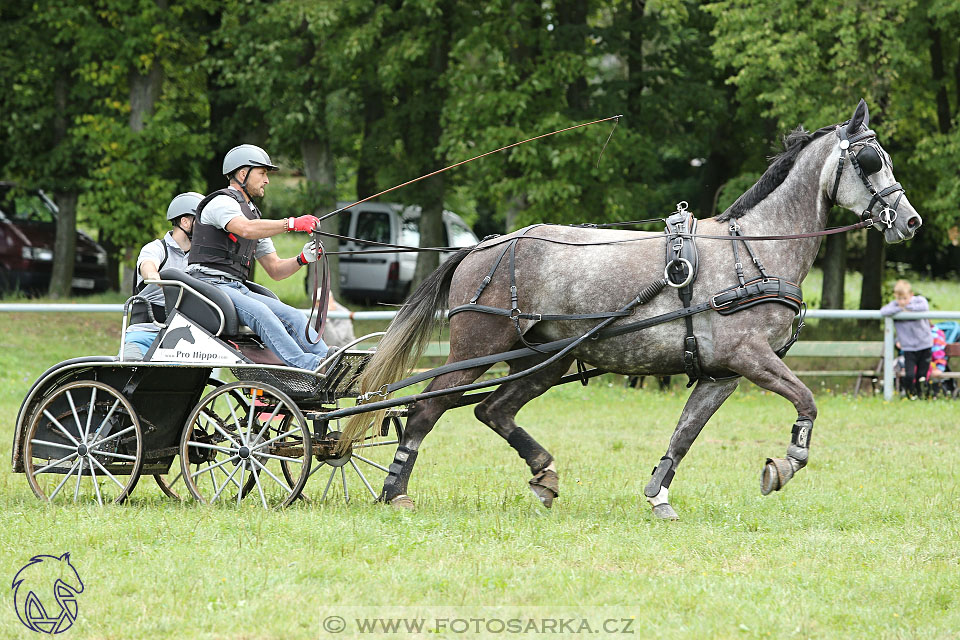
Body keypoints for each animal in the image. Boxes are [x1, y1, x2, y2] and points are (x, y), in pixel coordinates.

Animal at [344, 101, 924, 520]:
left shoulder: (721, 373)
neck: (754, 250)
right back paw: (395, 490)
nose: (911, 222)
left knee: (493, 411)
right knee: (425, 411)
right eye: (871, 161)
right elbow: (807, 402)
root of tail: (482, 247)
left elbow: (685, 434)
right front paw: (785, 464)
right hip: (476, 350)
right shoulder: (751, 357)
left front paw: (658, 494)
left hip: (546, 359)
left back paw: (544, 474)